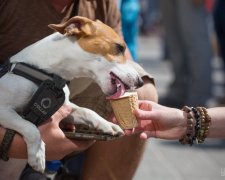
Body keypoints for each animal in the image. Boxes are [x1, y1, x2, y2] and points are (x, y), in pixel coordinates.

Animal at [0, 16, 144, 172]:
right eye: (119, 47)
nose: (141, 82)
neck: (50, 75)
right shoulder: (4, 110)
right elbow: (30, 127)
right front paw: (38, 154)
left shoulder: (65, 108)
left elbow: (88, 111)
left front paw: (106, 124)